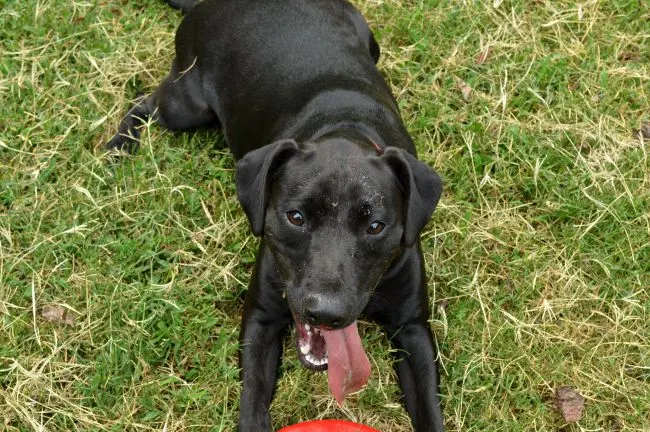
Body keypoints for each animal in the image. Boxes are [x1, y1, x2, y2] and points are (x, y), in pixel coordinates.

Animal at [109, 0, 442, 432]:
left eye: (375, 226)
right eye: (296, 217)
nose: (326, 313)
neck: (345, 133)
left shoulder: (413, 329)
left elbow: (431, 409)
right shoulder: (261, 318)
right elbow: (252, 399)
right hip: (186, 106)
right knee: (144, 103)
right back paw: (119, 146)